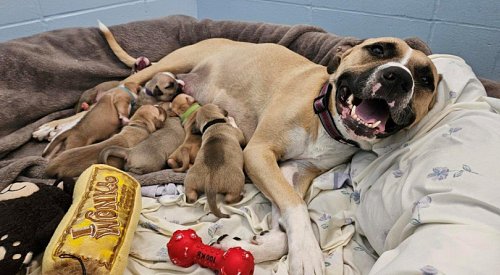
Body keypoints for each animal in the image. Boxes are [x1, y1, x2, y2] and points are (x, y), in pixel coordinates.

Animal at [103, 25, 440, 274]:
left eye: (426, 79)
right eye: (378, 50)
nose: (398, 78)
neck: (324, 114)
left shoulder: (294, 172)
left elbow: (289, 212)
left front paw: (250, 246)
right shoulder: (258, 154)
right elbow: (297, 207)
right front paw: (307, 254)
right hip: (170, 64)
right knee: (122, 83)